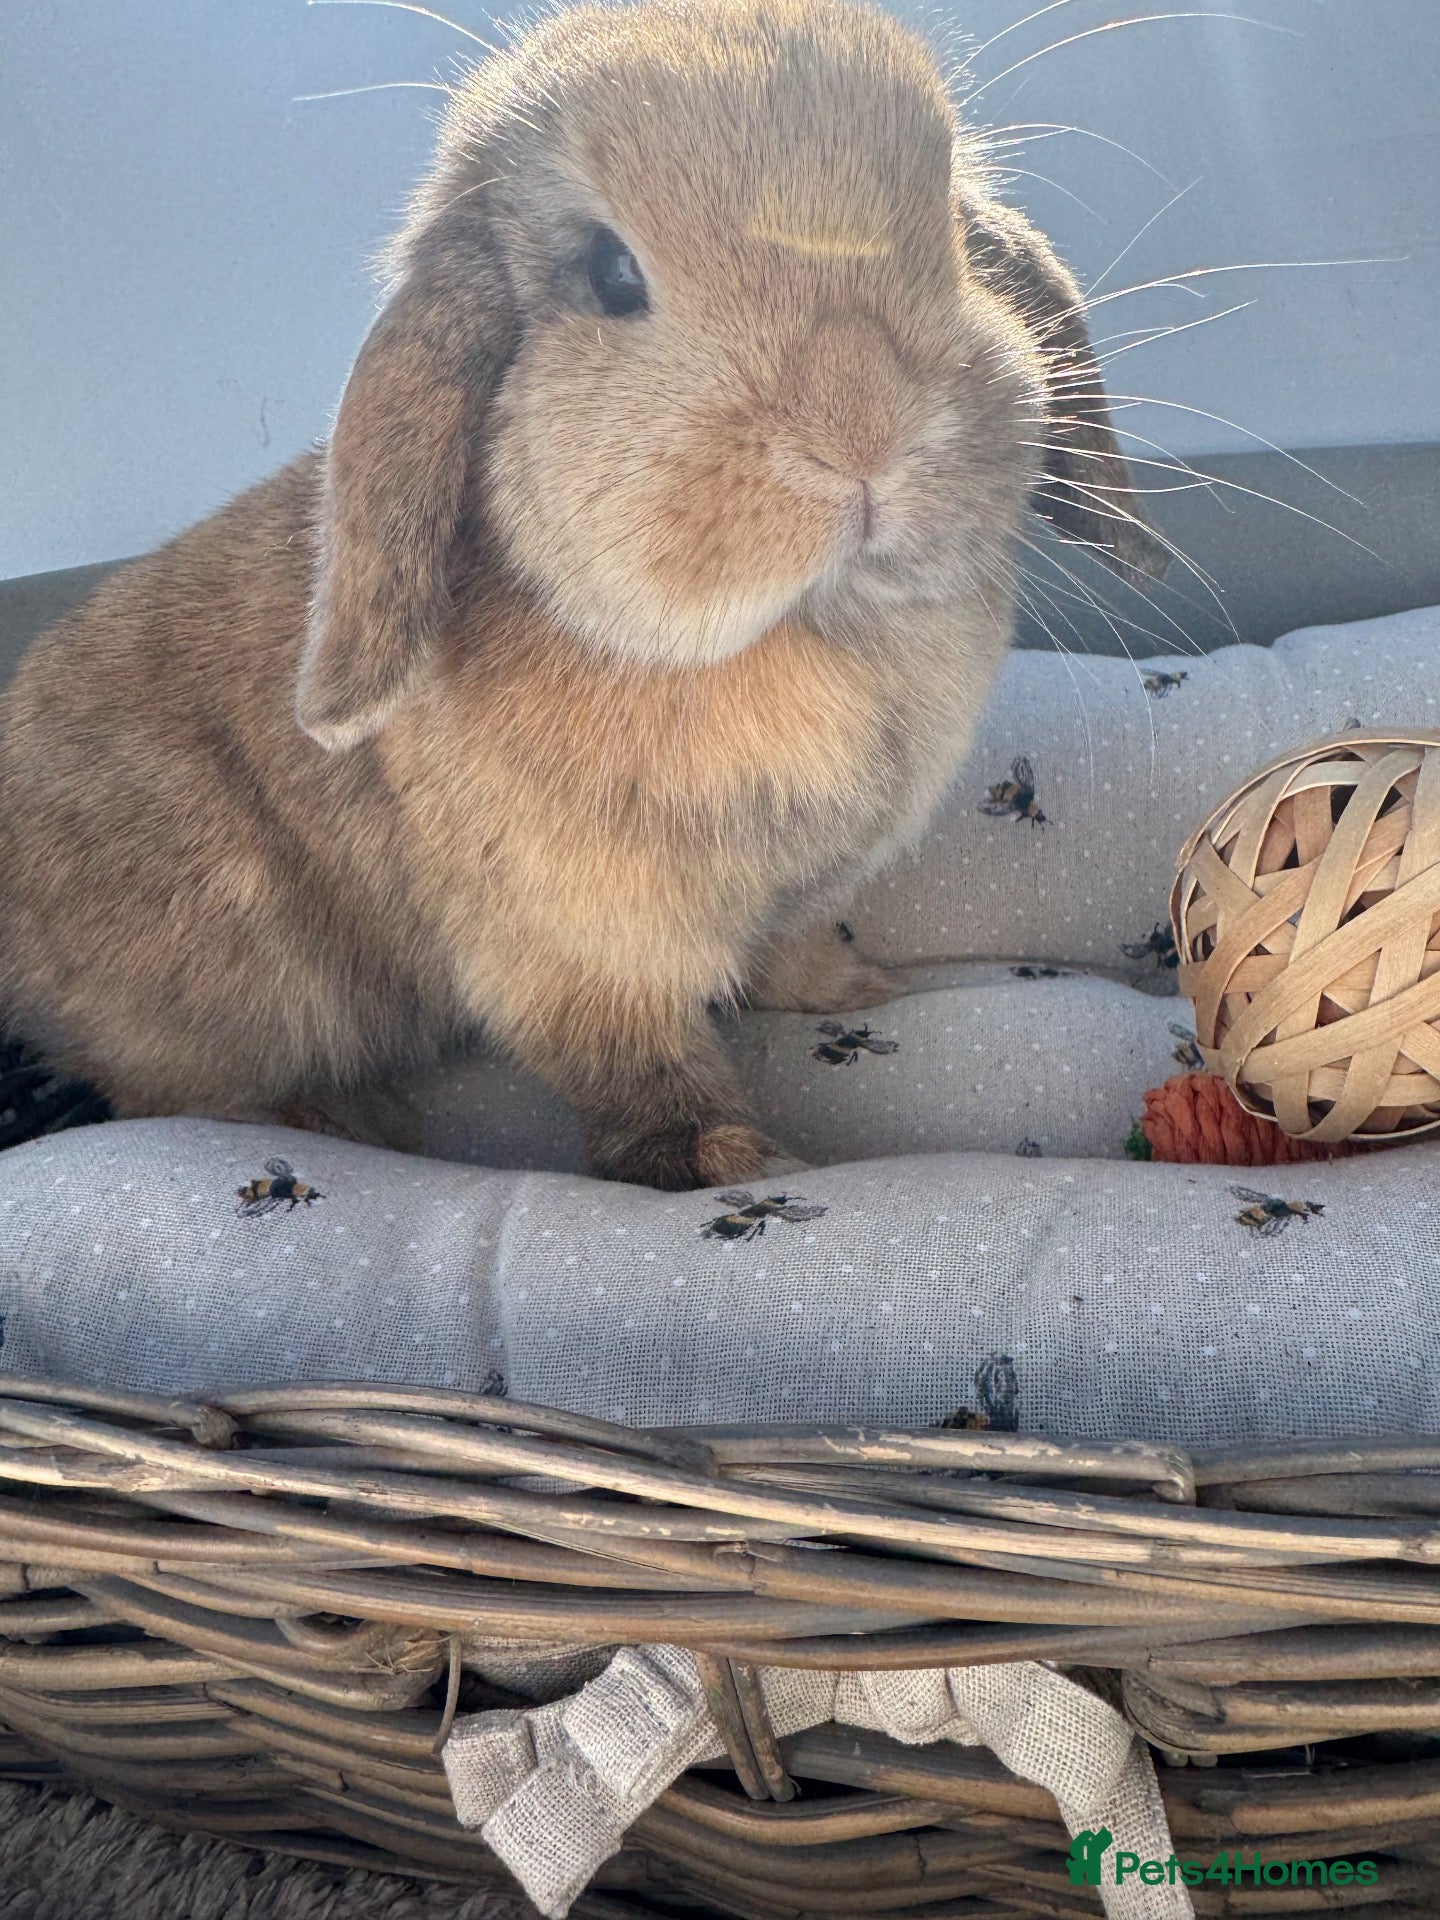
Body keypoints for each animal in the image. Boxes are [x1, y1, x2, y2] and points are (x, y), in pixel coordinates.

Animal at [0, 0, 1165, 1191]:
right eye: (611, 273)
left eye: (950, 228)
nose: (861, 425)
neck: (800, 634)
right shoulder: (578, 949)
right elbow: (635, 1069)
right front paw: (735, 1166)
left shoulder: (794, 894)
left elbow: (790, 949)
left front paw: (856, 991)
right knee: (175, 1093)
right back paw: (346, 1122)